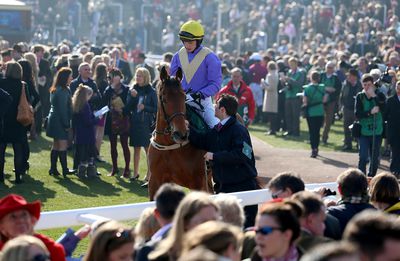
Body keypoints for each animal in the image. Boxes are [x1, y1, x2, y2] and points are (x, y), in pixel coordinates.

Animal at [148, 66, 212, 198]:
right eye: (164, 99)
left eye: (183, 96)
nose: (181, 134)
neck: (169, 146)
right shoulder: (155, 183)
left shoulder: (199, 183)